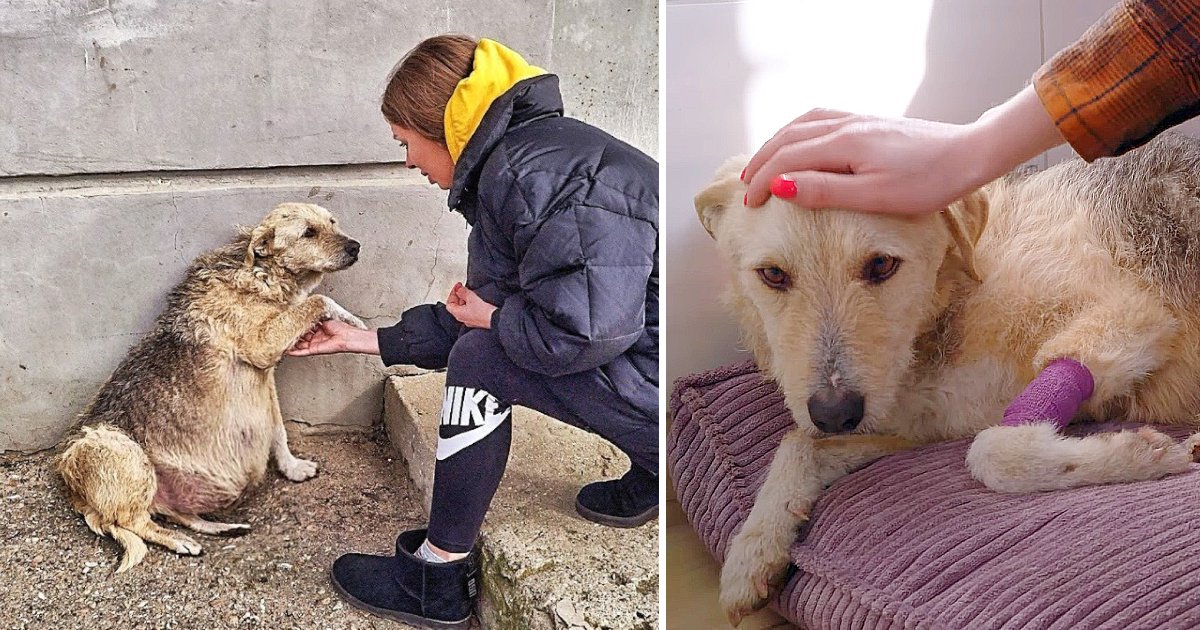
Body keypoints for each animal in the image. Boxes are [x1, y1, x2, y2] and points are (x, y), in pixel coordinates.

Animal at [55, 201, 364, 568]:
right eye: (308, 233)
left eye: (333, 222)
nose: (356, 247)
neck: (260, 273)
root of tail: (74, 490)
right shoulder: (262, 346)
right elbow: (318, 302)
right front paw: (353, 320)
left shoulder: (266, 378)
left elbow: (278, 429)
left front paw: (292, 467)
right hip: (120, 451)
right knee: (133, 522)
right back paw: (179, 541)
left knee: (173, 513)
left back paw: (220, 527)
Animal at [696, 133, 1200, 624]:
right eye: (772, 274)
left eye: (881, 265)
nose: (835, 414)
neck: (950, 306)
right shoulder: (925, 422)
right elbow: (798, 443)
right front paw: (755, 546)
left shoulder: (1130, 319)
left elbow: (993, 453)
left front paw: (1140, 454)